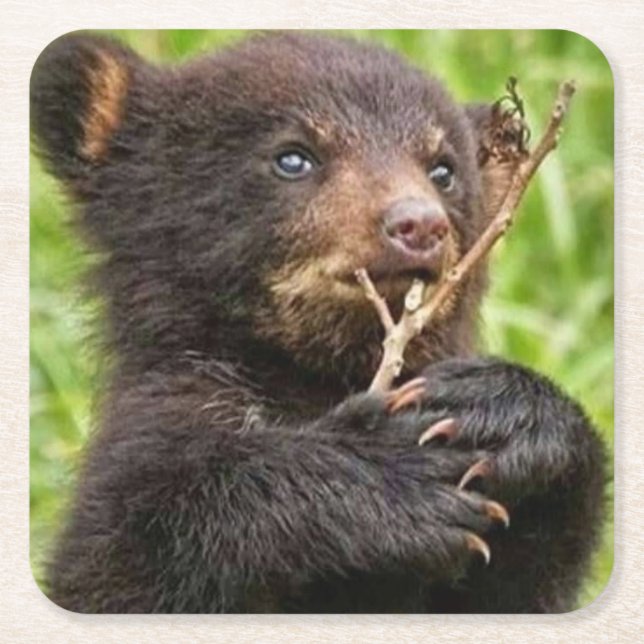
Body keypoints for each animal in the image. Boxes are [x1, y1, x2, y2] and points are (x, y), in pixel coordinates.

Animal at [30, 31, 607, 613]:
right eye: (294, 157)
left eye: (443, 169)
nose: (418, 224)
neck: (315, 377)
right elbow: (125, 557)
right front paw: (395, 473)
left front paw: (498, 415)